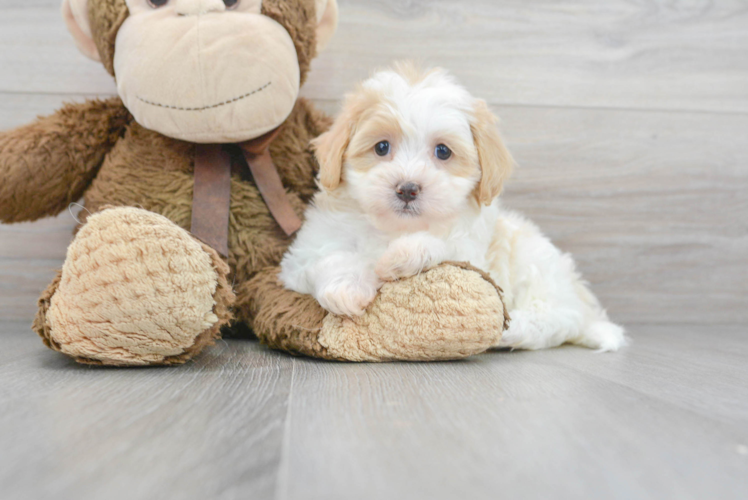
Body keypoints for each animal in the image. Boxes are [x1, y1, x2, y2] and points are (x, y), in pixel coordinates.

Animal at [280, 63, 624, 352]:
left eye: (443, 151)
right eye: (381, 147)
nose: (407, 188)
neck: (395, 228)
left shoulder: (473, 252)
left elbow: (444, 248)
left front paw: (403, 255)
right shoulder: (301, 256)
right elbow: (328, 258)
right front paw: (347, 287)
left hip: (538, 266)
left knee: (556, 320)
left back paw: (512, 329)